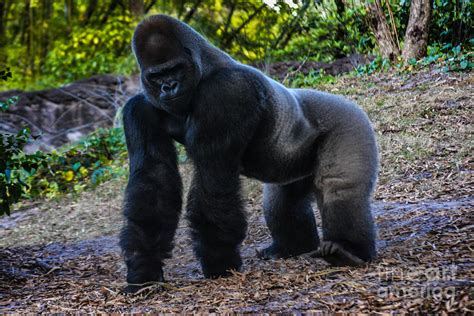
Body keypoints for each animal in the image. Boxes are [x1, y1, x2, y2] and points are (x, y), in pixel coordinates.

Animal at [120, 14, 380, 292]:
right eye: (157, 75)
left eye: (175, 69)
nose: (169, 86)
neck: (202, 68)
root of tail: (348, 102)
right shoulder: (140, 108)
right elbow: (154, 180)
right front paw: (144, 267)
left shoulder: (226, 93)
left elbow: (214, 180)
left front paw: (219, 260)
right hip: (294, 164)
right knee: (281, 200)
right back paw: (291, 247)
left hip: (349, 121)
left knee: (341, 190)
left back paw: (349, 250)